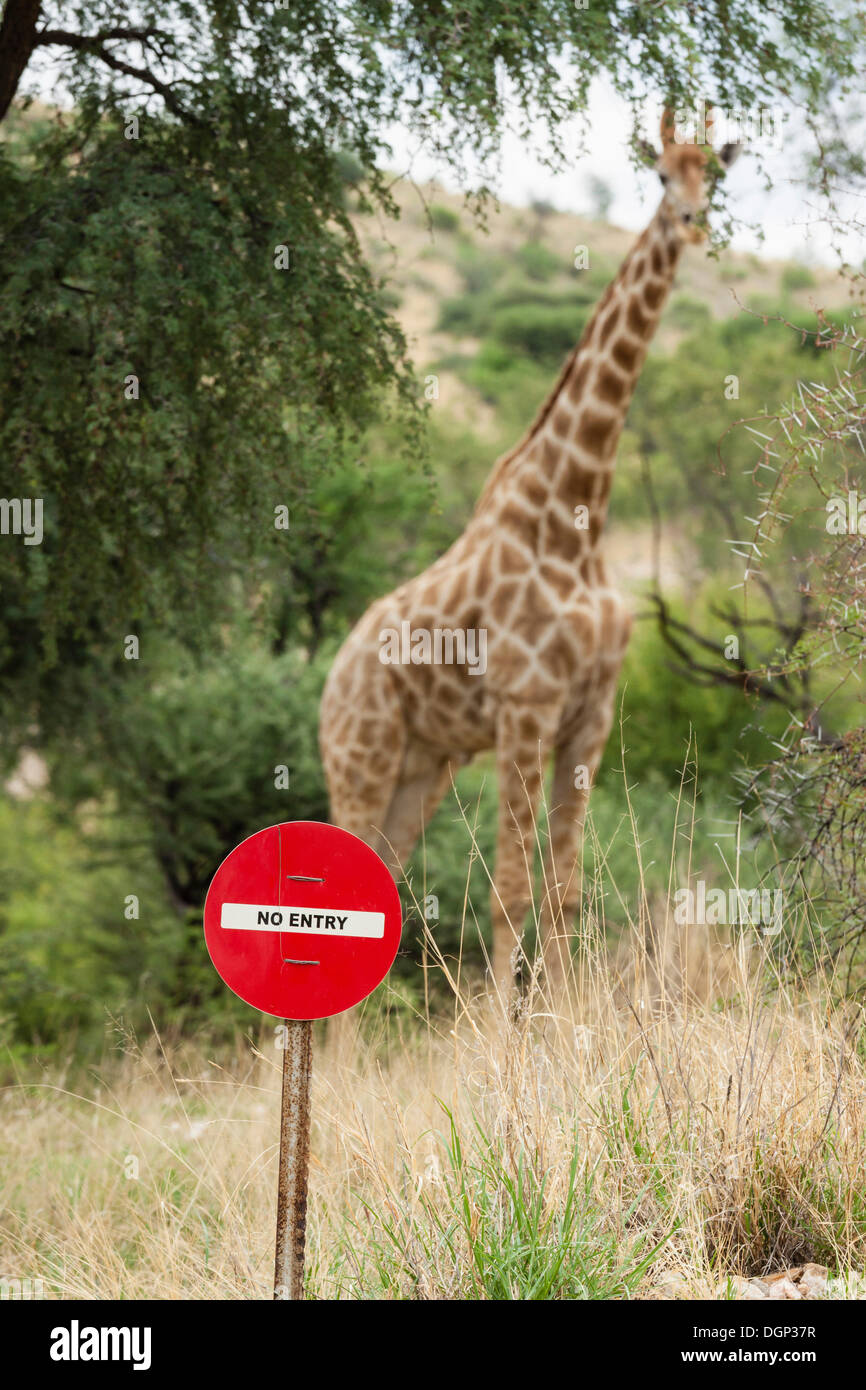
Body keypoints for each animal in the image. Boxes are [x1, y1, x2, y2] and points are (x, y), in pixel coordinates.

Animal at [319, 109, 740, 992]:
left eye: (712, 172)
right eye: (660, 175)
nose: (692, 221)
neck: (578, 512)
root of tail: (328, 681)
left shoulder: (590, 717)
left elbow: (565, 893)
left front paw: (566, 1017)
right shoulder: (525, 707)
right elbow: (509, 890)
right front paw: (499, 1026)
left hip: (421, 767)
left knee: (381, 896)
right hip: (360, 759)